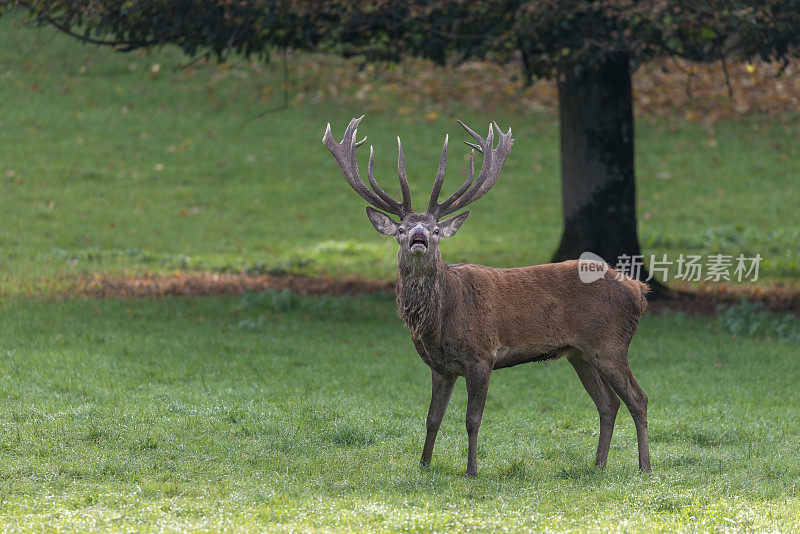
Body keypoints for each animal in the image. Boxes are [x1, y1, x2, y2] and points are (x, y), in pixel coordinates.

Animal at [320, 116, 648, 478]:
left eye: (435, 229)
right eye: (402, 230)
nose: (419, 237)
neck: (440, 321)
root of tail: (640, 291)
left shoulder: (482, 356)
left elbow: (472, 419)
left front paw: (471, 470)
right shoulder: (440, 367)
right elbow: (432, 418)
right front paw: (423, 465)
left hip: (610, 344)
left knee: (638, 398)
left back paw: (644, 467)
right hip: (580, 353)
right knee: (608, 403)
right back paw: (598, 466)